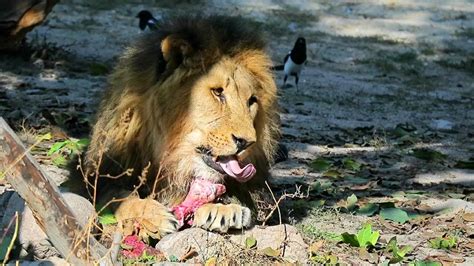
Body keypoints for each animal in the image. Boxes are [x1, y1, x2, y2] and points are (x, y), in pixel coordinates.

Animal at [83, 15, 280, 238]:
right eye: (217, 92)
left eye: (252, 101)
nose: (247, 142)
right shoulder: (96, 175)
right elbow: (120, 197)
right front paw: (154, 216)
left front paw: (223, 210)